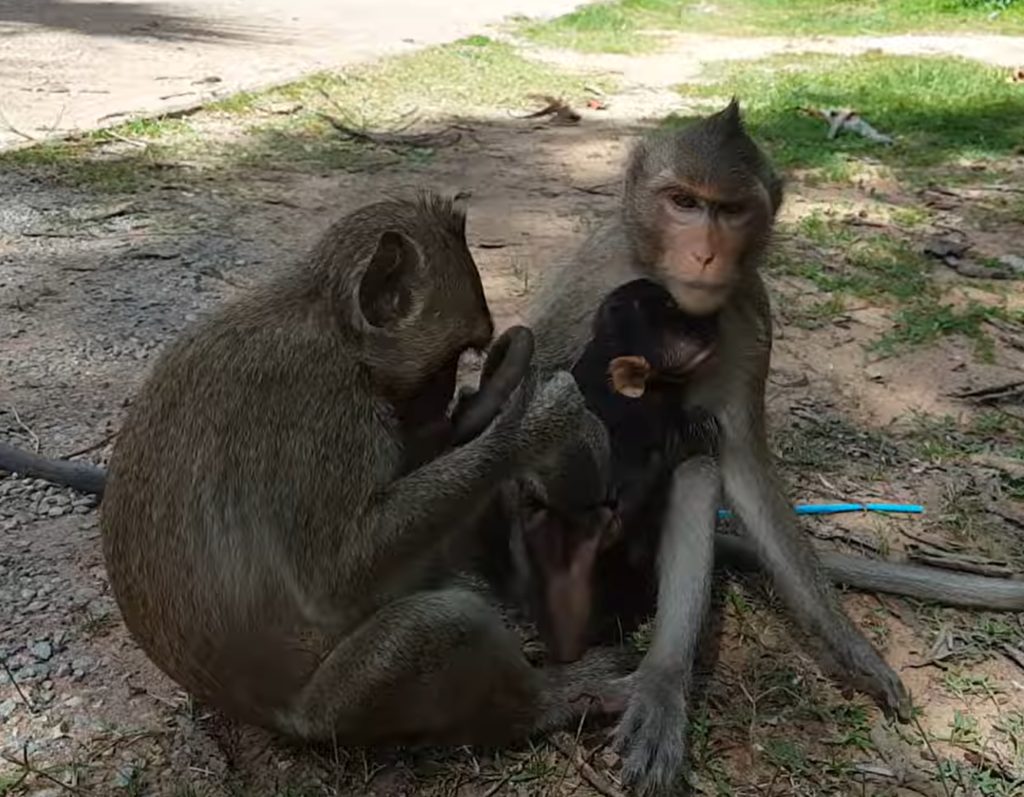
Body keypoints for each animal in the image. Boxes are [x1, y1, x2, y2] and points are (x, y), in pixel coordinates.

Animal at [98, 192, 637, 752]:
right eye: (448, 360)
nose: (444, 400)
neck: (335, 329)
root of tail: (267, 719)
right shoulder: (322, 408)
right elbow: (335, 576)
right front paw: (531, 426)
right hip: (345, 709)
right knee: (444, 624)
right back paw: (552, 699)